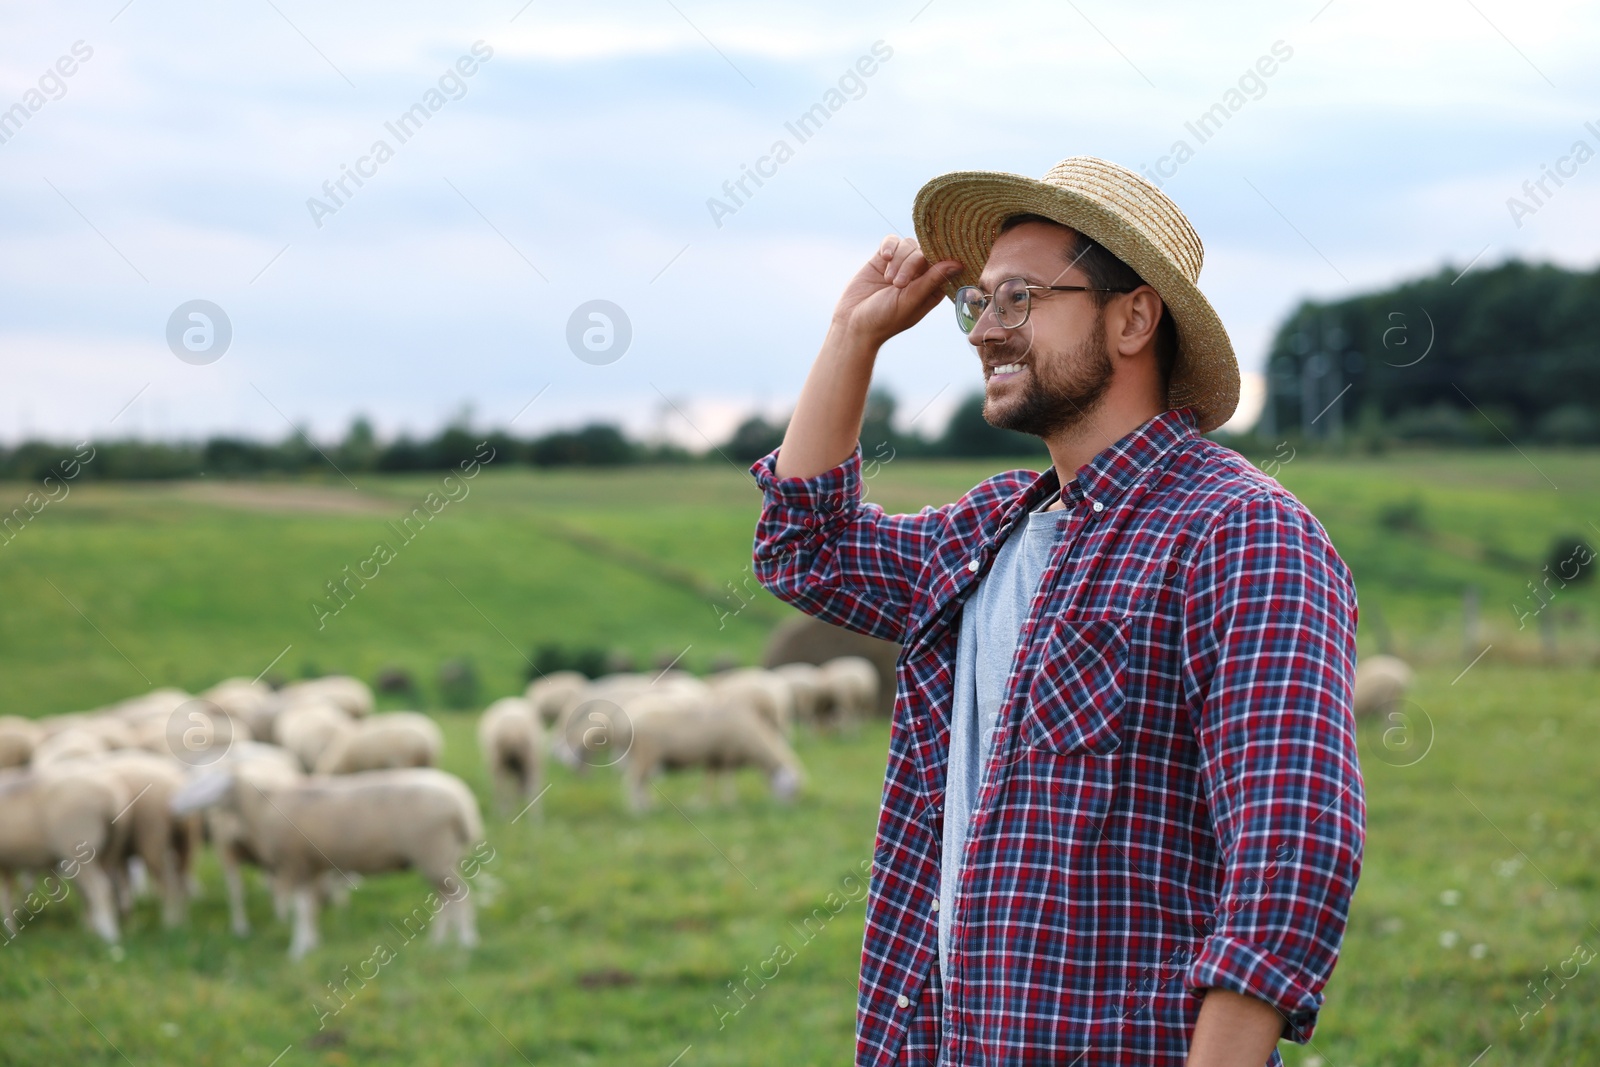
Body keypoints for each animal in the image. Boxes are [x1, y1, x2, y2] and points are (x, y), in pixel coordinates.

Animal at [0, 764, 128, 947]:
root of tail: (111, 798)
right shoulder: (6, 863)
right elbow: (6, 895)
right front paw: (12, 932)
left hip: (79, 848)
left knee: (101, 888)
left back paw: (109, 935)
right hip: (108, 852)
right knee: (101, 889)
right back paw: (91, 931)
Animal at [171, 767, 480, 959]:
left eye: (206, 784)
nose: (174, 807)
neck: (261, 807)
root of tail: (463, 804)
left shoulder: (294, 863)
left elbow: (299, 909)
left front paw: (296, 950)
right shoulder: (309, 866)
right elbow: (309, 908)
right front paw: (311, 943)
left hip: (434, 853)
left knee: (460, 896)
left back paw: (466, 942)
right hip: (445, 856)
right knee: (445, 899)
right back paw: (438, 943)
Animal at [617, 687, 806, 812]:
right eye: (791, 789)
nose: (791, 809)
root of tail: (627, 720)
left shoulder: (714, 756)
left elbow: (709, 780)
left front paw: (702, 803)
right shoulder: (729, 754)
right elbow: (727, 779)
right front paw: (730, 802)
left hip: (641, 755)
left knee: (642, 782)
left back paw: (648, 805)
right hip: (646, 753)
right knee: (633, 780)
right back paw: (637, 810)